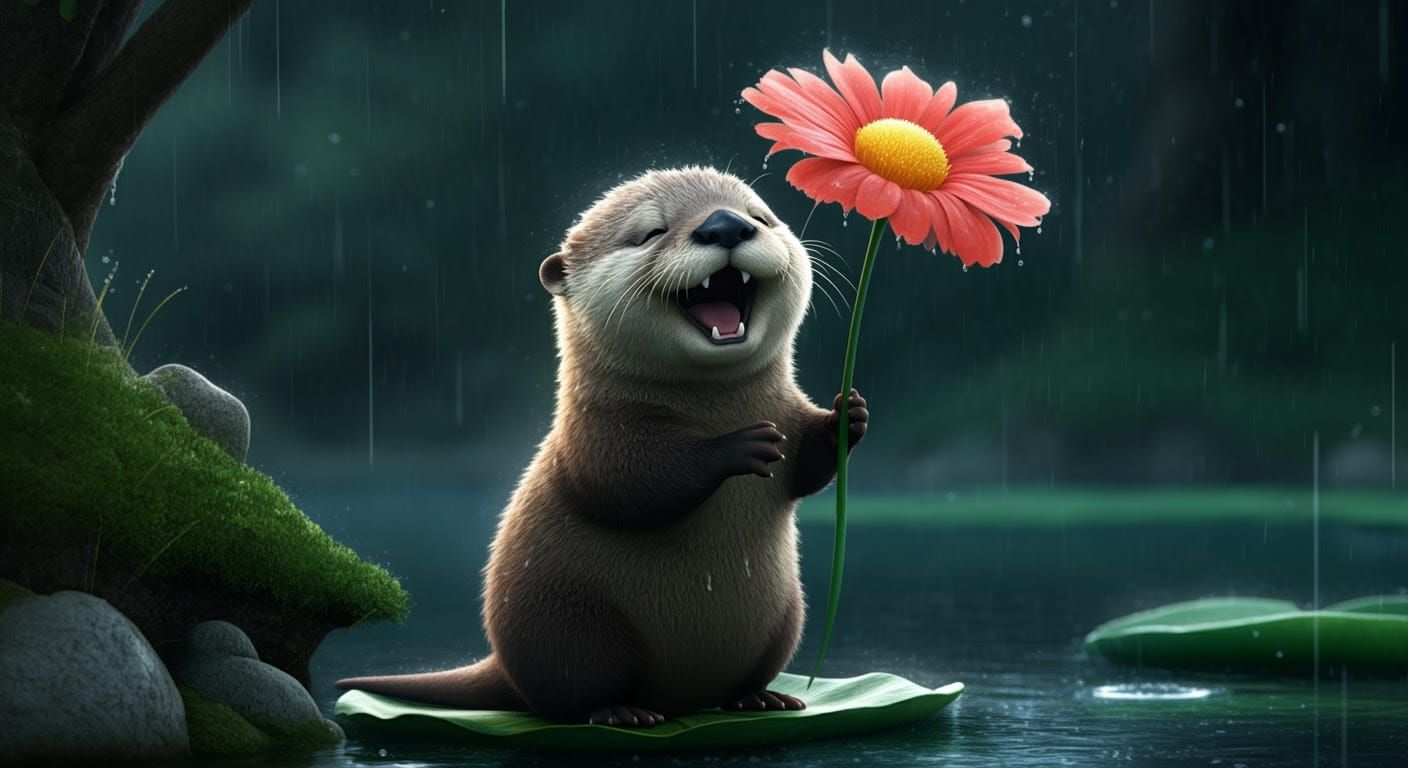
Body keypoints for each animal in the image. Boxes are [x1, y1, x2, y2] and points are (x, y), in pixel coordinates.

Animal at [336, 167, 867, 726]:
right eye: (650, 232)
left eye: (759, 216)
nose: (725, 225)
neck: (715, 409)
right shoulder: (595, 434)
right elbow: (626, 484)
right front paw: (740, 446)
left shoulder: (788, 409)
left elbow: (808, 465)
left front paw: (847, 416)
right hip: (574, 625)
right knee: (571, 695)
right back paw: (622, 712)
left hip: (787, 616)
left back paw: (762, 698)